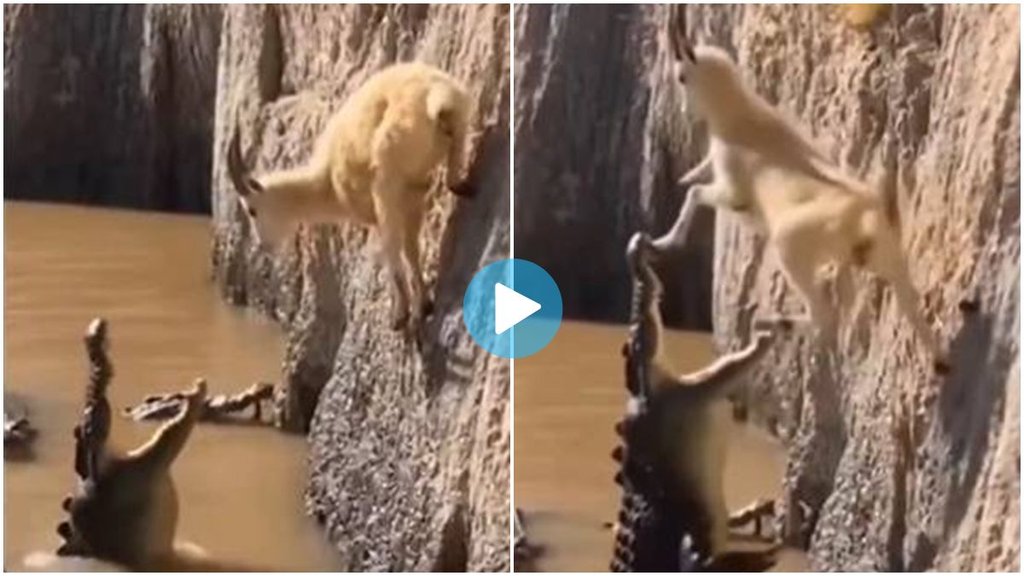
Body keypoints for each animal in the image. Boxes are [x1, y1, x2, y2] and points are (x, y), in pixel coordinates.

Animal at [226, 62, 475, 334]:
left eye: (252, 210)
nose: (265, 247)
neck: (328, 183)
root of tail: (434, 97)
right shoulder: (413, 199)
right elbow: (411, 251)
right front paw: (424, 305)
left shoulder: (390, 207)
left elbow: (395, 254)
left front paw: (409, 312)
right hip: (457, 126)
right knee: (454, 167)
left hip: (386, 183)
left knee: (393, 246)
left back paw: (402, 316)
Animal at [651, 7, 949, 372]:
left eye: (681, 76)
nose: (683, 111)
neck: (741, 120)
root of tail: (863, 217)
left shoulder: (733, 194)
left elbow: (694, 193)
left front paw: (664, 242)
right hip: (886, 263)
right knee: (898, 309)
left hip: (792, 249)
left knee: (826, 318)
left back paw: (772, 322)